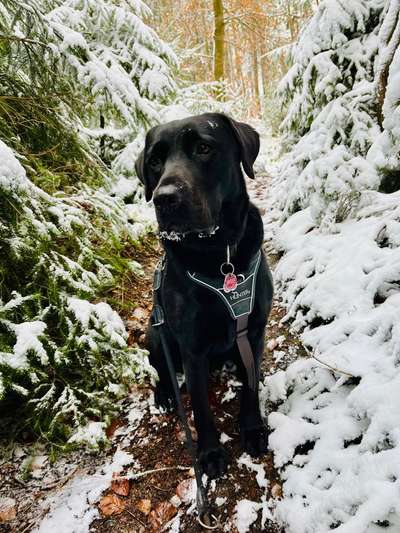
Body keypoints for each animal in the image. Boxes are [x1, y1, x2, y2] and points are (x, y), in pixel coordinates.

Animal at [136, 113, 274, 478]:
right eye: (154, 161)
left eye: (203, 148)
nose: (164, 197)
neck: (218, 255)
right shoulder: (192, 350)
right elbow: (201, 409)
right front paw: (210, 454)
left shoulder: (254, 330)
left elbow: (250, 388)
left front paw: (252, 429)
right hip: (154, 333)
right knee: (162, 369)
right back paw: (165, 394)